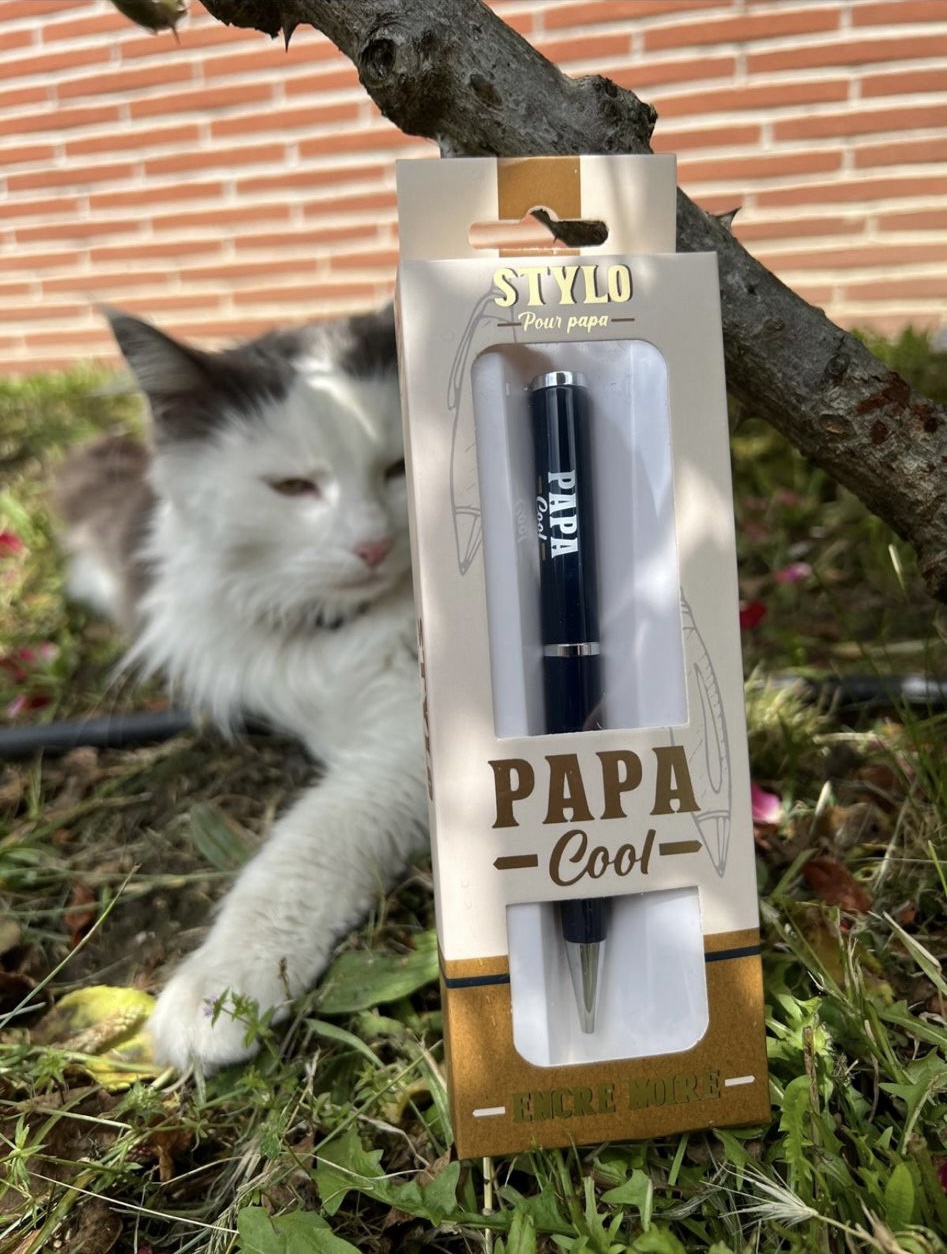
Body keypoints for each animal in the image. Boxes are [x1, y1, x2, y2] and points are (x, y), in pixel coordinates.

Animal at [55, 306, 428, 1073]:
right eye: (292, 487)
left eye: (398, 467)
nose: (373, 546)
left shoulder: (404, 749)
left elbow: (306, 845)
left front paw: (221, 992)